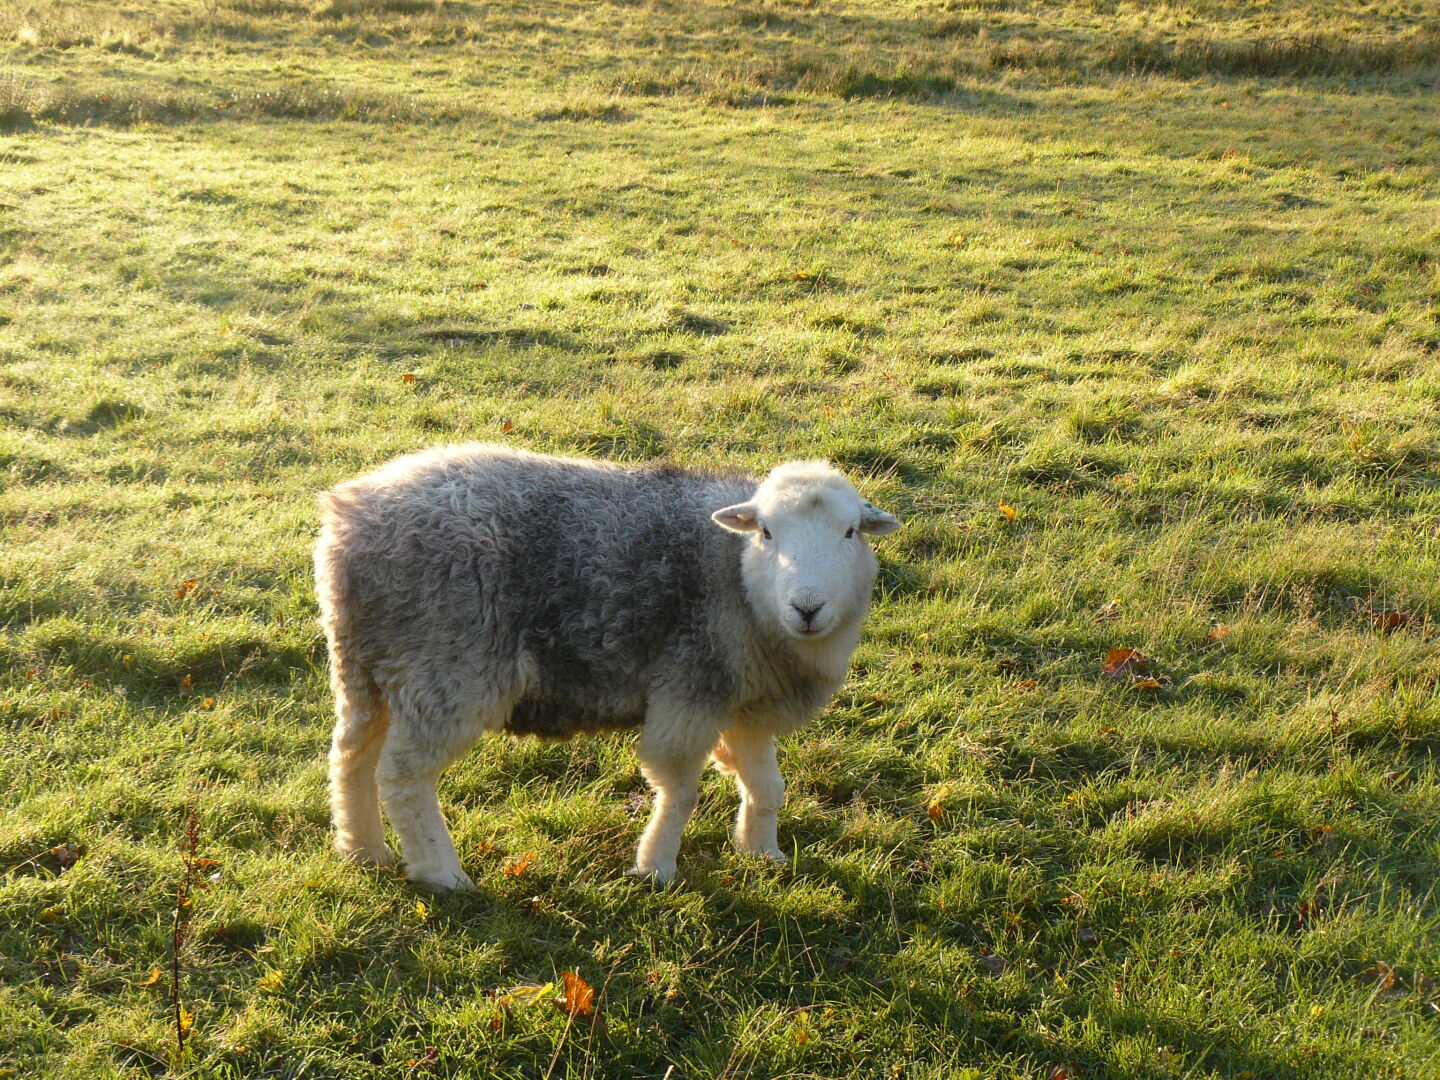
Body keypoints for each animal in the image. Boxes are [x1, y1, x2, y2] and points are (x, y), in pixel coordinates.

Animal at [315, 444, 900, 891]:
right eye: (767, 534)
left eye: (851, 532)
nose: (807, 608)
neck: (734, 579)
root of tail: (350, 518)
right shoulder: (689, 690)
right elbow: (679, 790)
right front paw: (657, 868)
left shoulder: (742, 702)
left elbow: (767, 786)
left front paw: (762, 854)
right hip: (445, 671)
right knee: (404, 775)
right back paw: (442, 873)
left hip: (365, 669)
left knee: (350, 758)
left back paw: (363, 851)